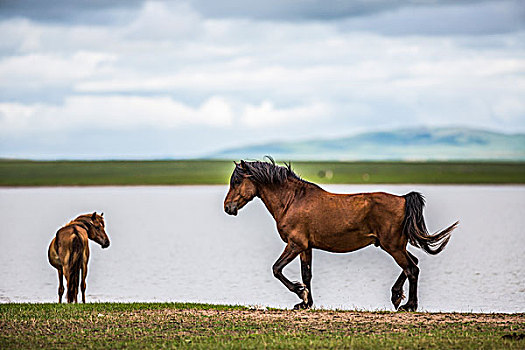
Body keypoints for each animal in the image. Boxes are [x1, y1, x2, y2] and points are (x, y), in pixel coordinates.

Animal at [223, 158, 456, 308]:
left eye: (237, 181)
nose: (227, 207)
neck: (292, 200)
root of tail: (403, 199)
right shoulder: (305, 247)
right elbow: (306, 274)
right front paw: (306, 302)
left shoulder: (295, 244)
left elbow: (276, 269)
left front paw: (300, 293)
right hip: (396, 246)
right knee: (412, 264)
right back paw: (396, 296)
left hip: (393, 246)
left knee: (412, 269)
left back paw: (409, 305)